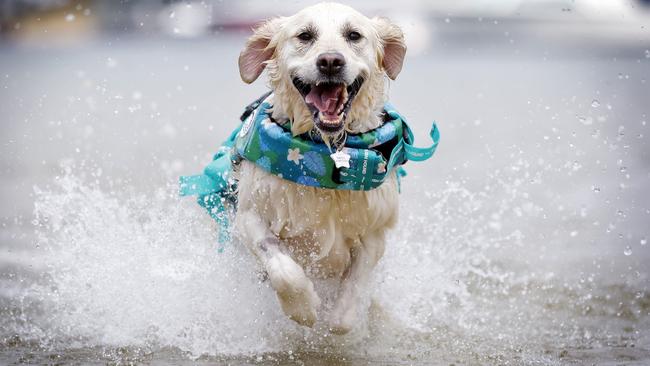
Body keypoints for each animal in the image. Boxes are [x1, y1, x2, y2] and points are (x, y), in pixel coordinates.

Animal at [233, 2, 404, 334]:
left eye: (354, 35)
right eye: (304, 35)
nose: (330, 62)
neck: (329, 150)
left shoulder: (374, 229)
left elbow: (347, 308)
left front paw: (335, 318)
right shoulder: (249, 214)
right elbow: (282, 267)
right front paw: (304, 308)